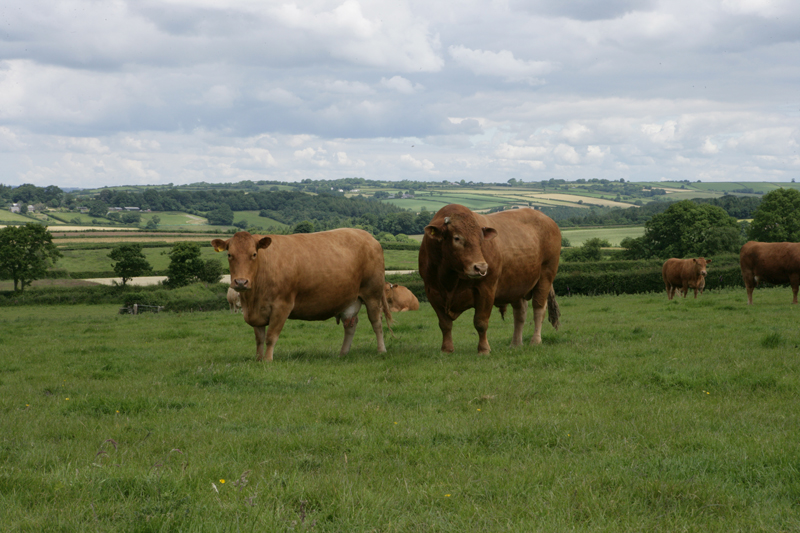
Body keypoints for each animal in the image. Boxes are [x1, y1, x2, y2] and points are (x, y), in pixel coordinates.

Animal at [211, 229, 390, 362]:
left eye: (254, 254)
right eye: (229, 254)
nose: (241, 282)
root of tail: (369, 237)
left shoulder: (282, 306)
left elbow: (271, 336)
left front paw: (268, 360)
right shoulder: (256, 312)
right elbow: (259, 339)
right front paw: (258, 359)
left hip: (372, 294)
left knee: (376, 322)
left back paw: (381, 350)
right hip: (350, 300)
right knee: (350, 325)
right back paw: (343, 353)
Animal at [418, 204, 564, 354]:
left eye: (480, 239)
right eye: (457, 238)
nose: (481, 267)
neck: (450, 279)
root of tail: (547, 219)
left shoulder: (486, 289)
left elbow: (480, 322)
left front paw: (484, 349)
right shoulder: (432, 292)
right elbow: (445, 324)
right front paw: (446, 349)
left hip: (545, 277)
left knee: (538, 308)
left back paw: (535, 341)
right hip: (516, 285)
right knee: (520, 313)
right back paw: (516, 343)